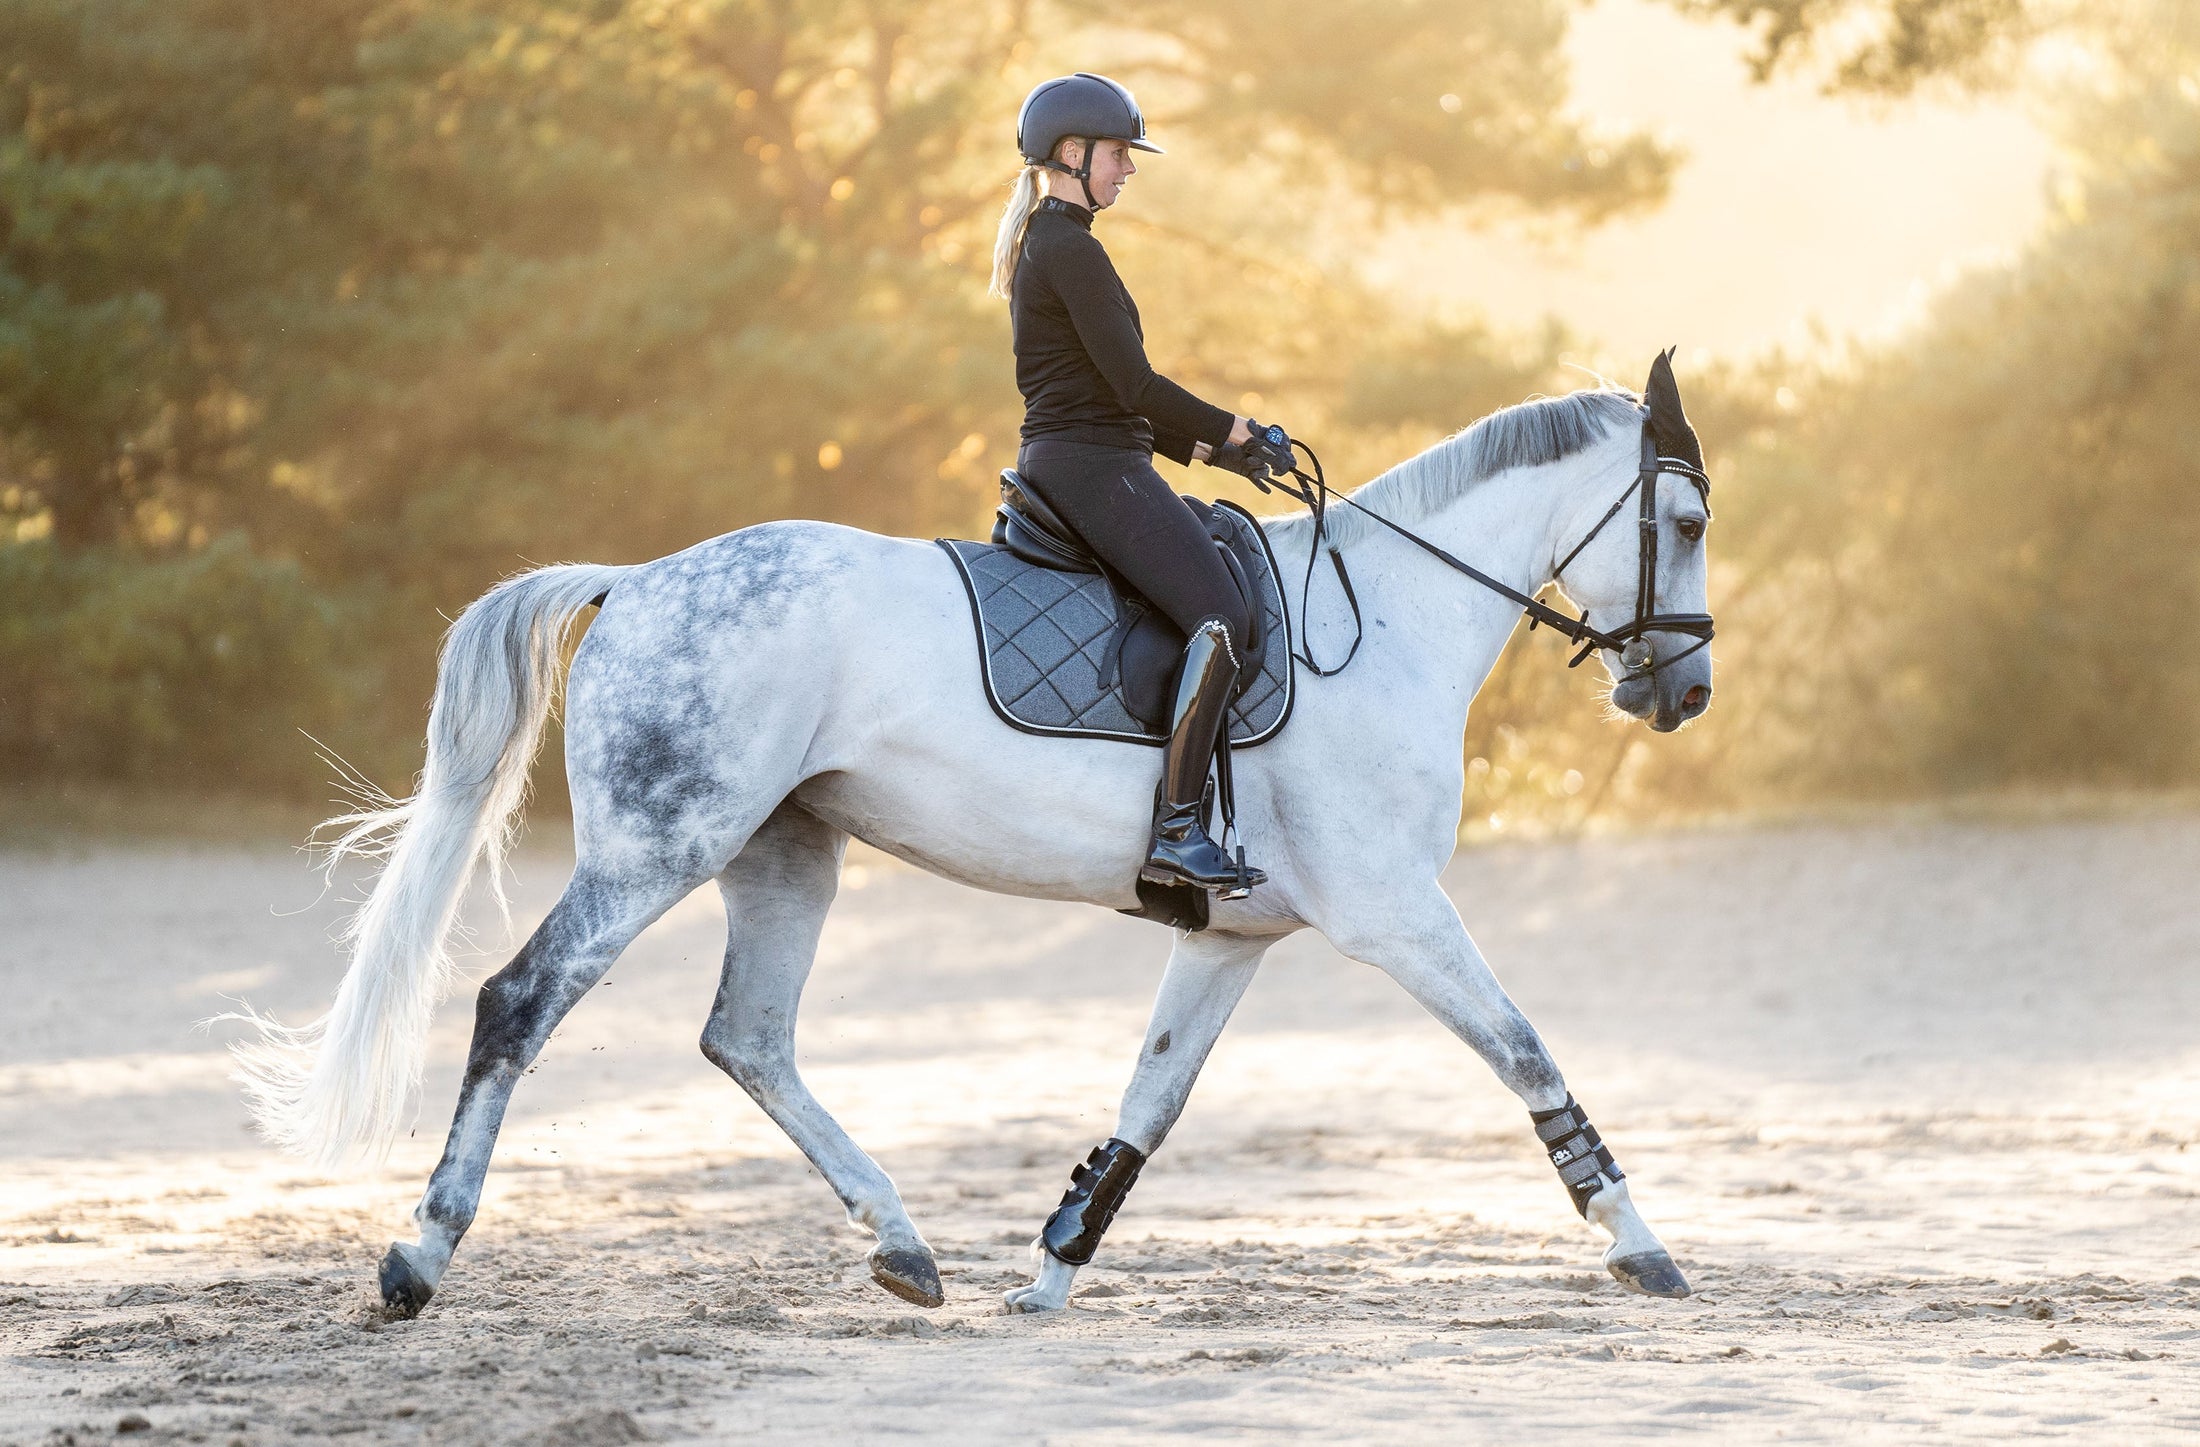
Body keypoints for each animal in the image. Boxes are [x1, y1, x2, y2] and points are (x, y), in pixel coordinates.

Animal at [232, 355, 1716, 1318]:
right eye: (1689, 520)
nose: (1684, 693)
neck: (1388, 615)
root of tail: (638, 578)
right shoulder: (1395, 910)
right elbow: (1528, 1053)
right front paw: (1640, 1243)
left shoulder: (1231, 938)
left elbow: (1148, 1103)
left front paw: (1054, 1264)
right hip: (659, 848)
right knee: (519, 1000)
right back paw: (418, 1258)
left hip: (784, 851)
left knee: (748, 1038)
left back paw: (903, 1246)